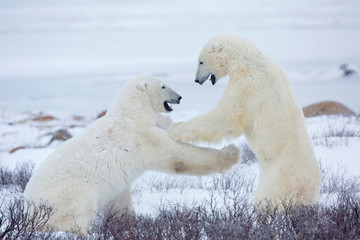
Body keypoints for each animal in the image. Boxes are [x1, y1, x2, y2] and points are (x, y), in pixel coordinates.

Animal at [23, 76, 240, 234]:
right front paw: (232, 153)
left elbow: (120, 199)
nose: (179, 97)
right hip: (67, 194)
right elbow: (177, 156)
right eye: (163, 86)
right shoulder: (141, 137)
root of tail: (28, 212)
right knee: (76, 211)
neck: (130, 114)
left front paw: (127, 223)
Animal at [170, 34, 322, 209]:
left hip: (280, 177)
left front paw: (175, 128)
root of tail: (310, 191)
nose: (196, 80)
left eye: (201, 61)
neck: (247, 60)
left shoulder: (248, 86)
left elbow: (227, 116)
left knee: (268, 197)